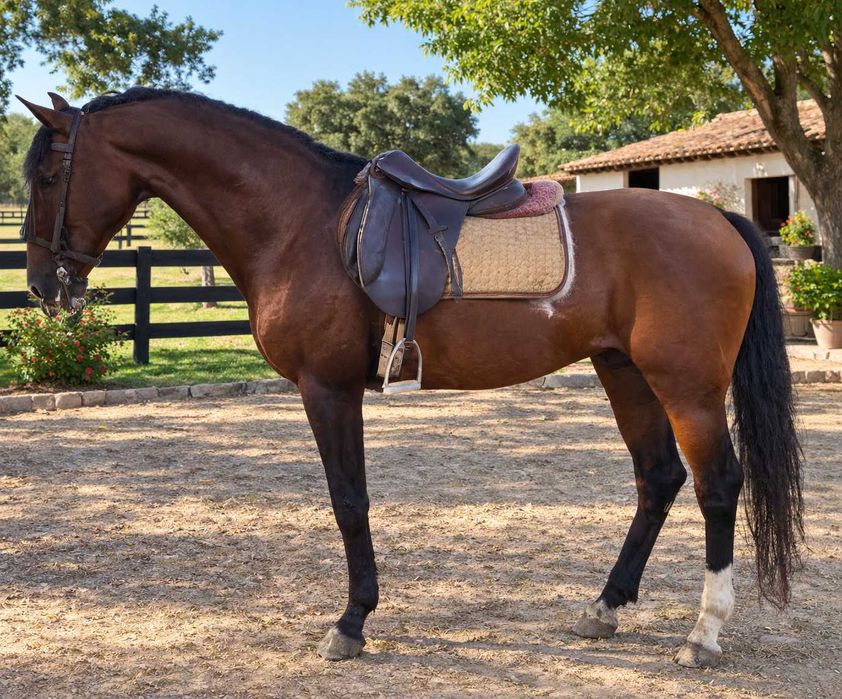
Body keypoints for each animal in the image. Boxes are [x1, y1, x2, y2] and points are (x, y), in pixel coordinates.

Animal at [17, 88, 803, 669]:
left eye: (50, 175)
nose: (40, 286)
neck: (297, 221)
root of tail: (721, 221)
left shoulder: (327, 388)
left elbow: (349, 501)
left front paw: (350, 622)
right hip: (624, 372)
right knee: (657, 478)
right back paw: (604, 607)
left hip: (687, 387)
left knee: (716, 485)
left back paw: (702, 634)